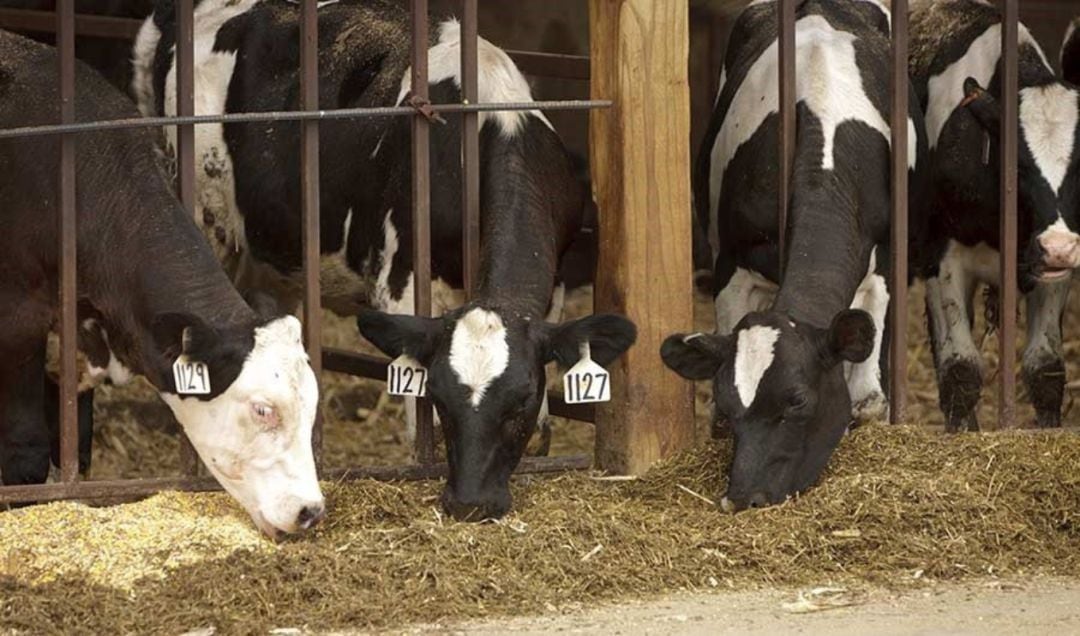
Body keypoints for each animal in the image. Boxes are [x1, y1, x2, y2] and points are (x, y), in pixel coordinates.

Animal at [0, 28, 324, 535]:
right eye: (262, 409)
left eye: (311, 405)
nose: (311, 510)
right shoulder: (18, 321)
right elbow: (26, 453)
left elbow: (78, 446)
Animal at [132, 0, 630, 520]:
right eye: (441, 398)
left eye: (521, 402)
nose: (470, 503)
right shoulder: (399, 283)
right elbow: (420, 426)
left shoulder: (552, 289)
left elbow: (543, 430)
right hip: (206, 218)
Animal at [656, 0, 928, 511]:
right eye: (728, 404)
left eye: (798, 401)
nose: (744, 496)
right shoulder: (733, 262)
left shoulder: (885, 260)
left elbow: (868, 400)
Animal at [911, 0, 1080, 431]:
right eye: (1017, 167)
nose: (1060, 247)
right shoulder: (942, 258)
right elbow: (961, 369)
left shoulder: (1050, 269)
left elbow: (1045, 368)